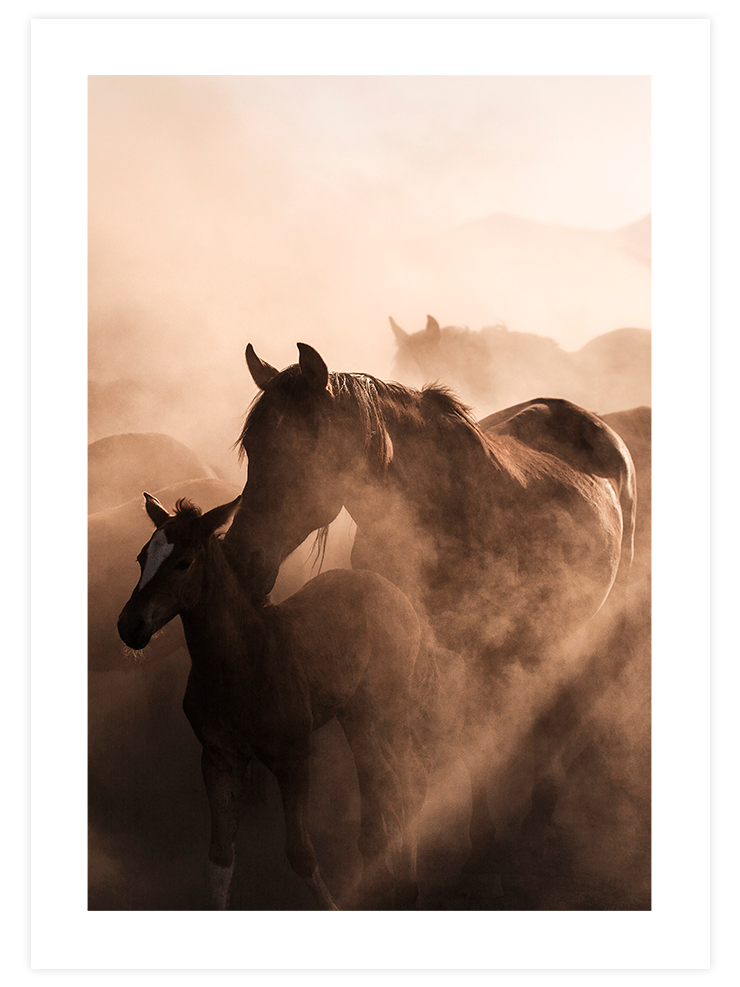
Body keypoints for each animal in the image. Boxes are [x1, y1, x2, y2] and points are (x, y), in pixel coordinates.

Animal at [117, 493, 426, 910]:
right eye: (140, 558)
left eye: (184, 563)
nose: (129, 625)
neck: (240, 661)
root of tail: (392, 590)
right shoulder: (219, 759)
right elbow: (219, 859)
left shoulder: (293, 758)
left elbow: (301, 853)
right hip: (355, 713)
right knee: (379, 778)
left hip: (389, 706)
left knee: (409, 779)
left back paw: (407, 880)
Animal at [224, 340, 637, 876]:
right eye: (253, 450)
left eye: (301, 450)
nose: (238, 559)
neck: (439, 504)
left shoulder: (473, 647)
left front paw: (474, 833)